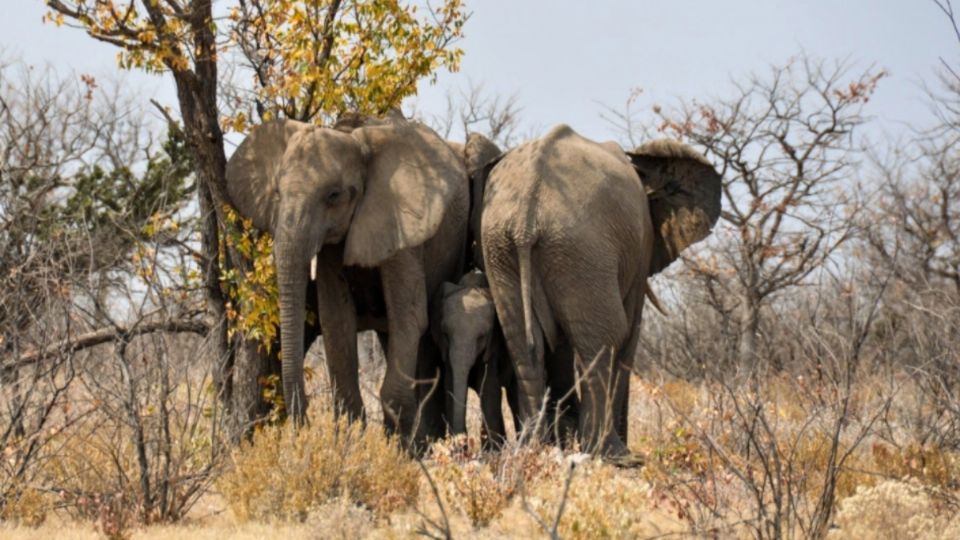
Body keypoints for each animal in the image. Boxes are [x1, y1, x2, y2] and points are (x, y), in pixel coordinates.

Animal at [223, 115, 466, 448]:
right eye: (277, 195)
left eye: (333, 196)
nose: (303, 424)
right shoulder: (330, 247)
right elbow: (337, 321)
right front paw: (351, 446)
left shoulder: (403, 228)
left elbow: (409, 317)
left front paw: (398, 452)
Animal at [480, 123, 720, 460]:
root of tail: (526, 217)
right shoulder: (641, 245)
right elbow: (630, 331)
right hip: (581, 249)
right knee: (608, 335)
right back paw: (613, 454)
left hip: (503, 248)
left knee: (522, 342)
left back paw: (533, 448)